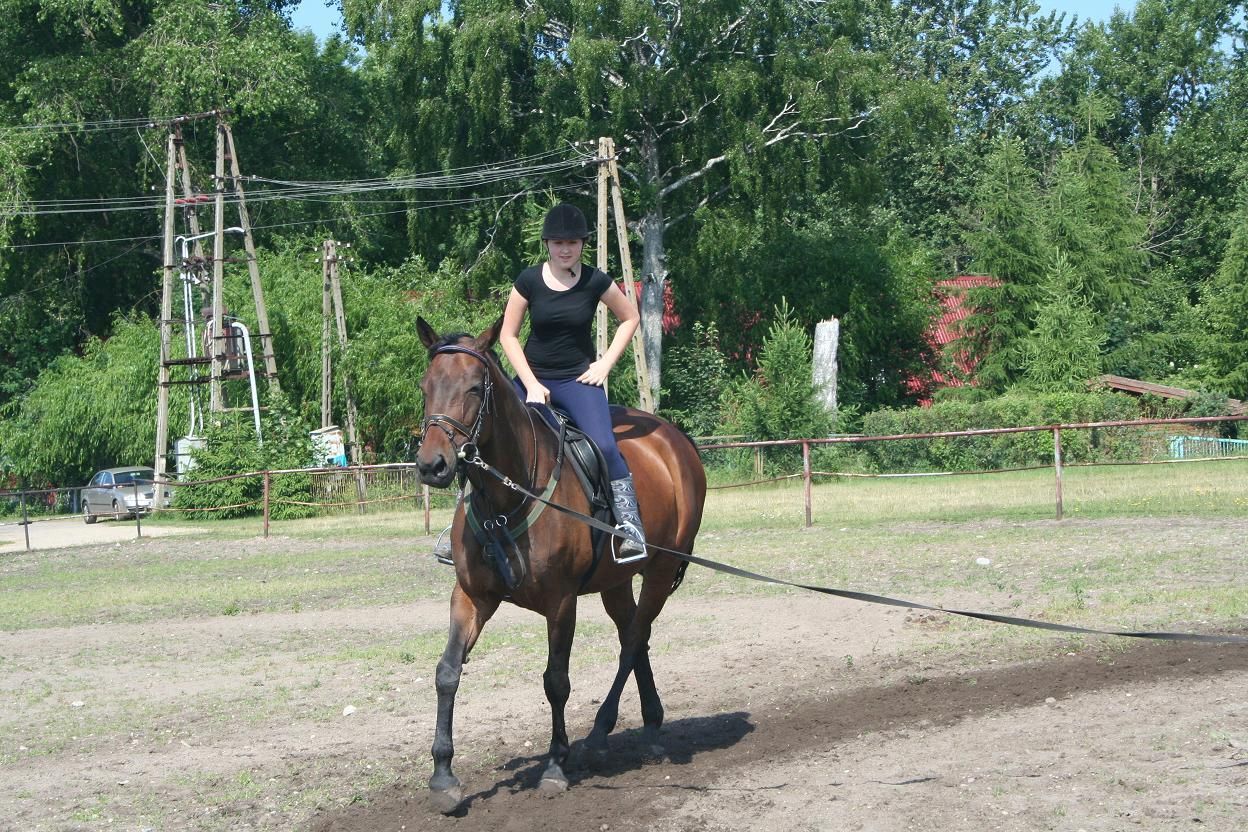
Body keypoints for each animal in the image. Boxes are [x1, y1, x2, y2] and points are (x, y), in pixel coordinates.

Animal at [414, 316, 707, 814]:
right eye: (426, 386)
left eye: (473, 388)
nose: (432, 465)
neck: (509, 496)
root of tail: (675, 438)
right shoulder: (471, 597)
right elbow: (447, 672)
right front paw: (443, 776)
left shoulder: (561, 602)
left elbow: (556, 681)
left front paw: (554, 765)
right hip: (615, 582)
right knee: (636, 635)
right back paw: (651, 728)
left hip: (660, 571)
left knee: (633, 641)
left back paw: (600, 731)